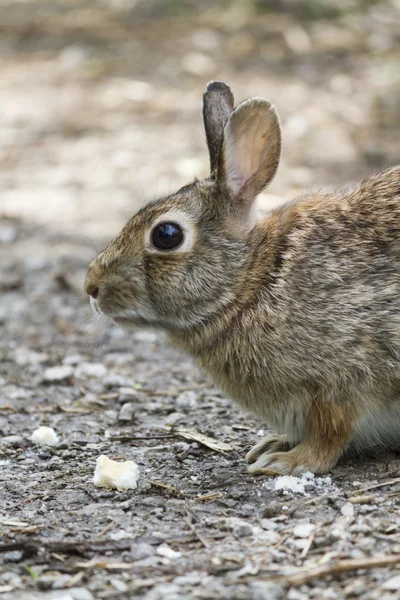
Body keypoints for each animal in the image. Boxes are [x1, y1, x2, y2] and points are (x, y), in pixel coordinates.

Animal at [85, 79, 400, 476]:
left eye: (167, 235)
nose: (91, 287)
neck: (253, 281)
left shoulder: (343, 378)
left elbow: (329, 433)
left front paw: (286, 461)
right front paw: (273, 444)